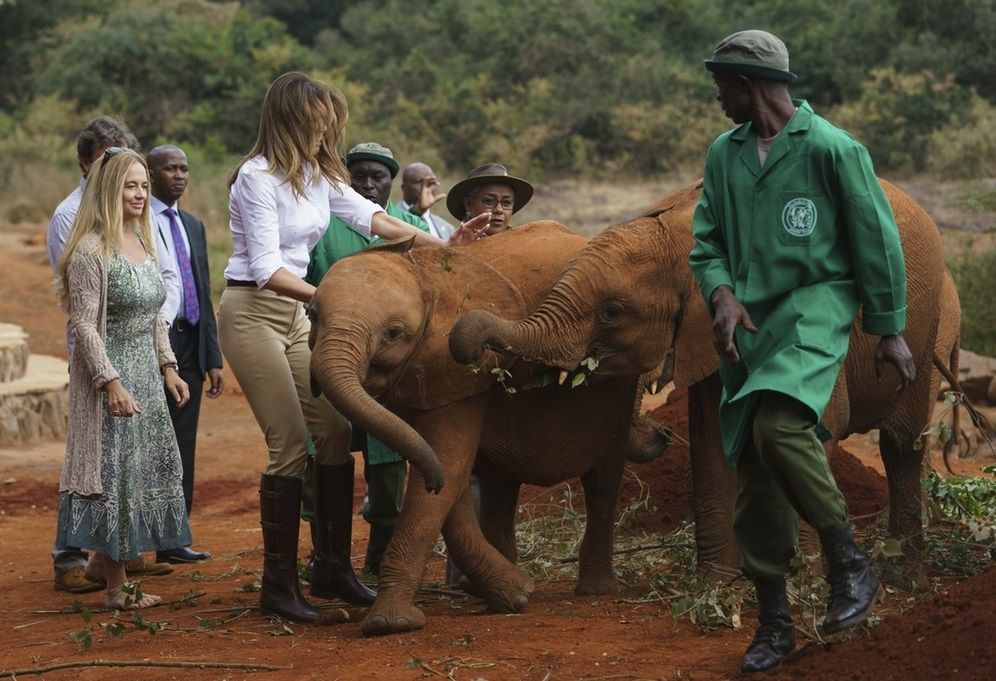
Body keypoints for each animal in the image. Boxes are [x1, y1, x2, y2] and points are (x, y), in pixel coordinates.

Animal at [312, 220, 648, 636]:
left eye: (393, 333)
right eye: (311, 315)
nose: (432, 480)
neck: (425, 275)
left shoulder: (457, 368)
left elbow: (450, 465)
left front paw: (390, 624)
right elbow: (446, 473)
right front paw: (516, 595)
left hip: (622, 370)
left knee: (602, 479)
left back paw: (596, 590)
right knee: (501, 486)